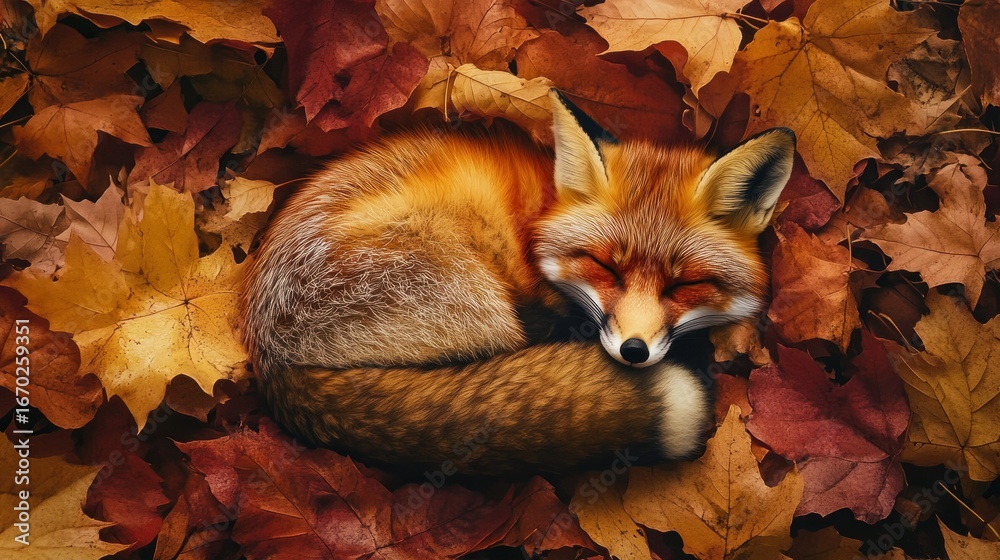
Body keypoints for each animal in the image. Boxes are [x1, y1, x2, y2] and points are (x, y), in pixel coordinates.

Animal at [238, 90, 795, 475]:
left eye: (683, 286)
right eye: (605, 268)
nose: (634, 351)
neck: (542, 213)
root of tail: (272, 358)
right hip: (478, 296)